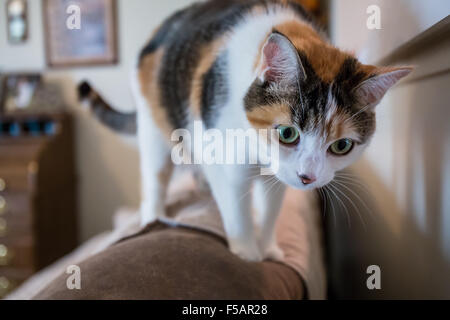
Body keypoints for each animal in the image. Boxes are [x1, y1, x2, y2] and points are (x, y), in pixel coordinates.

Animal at [80, 0, 412, 262]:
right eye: (287, 133)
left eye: (342, 146)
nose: (307, 177)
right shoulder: (221, 155)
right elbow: (235, 206)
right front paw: (248, 253)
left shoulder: (278, 175)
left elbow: (270, 209)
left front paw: (268, 249)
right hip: (154, 126)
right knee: (155, 177)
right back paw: (153, 216)